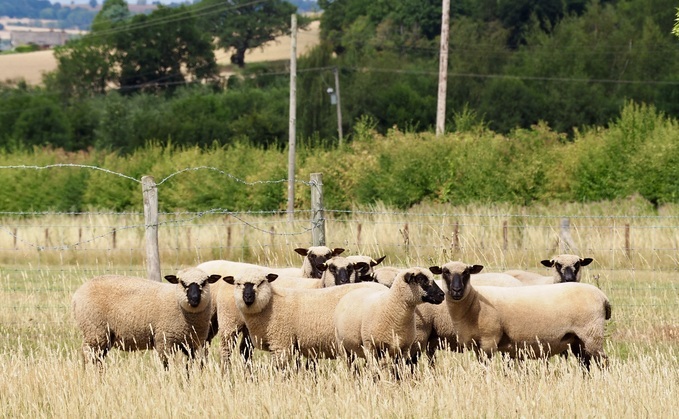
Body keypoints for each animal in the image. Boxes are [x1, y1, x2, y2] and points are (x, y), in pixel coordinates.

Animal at [71, 268, 222, 369]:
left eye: (204, 282)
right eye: (182, 283)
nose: (194, 299)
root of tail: (77, 295)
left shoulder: (192, 344)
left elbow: (189, 367)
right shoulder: (164, 341)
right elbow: (167, 365)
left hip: (103, 336)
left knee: (97, 359)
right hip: (95, 331)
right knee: (87, 356)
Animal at [212, 255, 372, 369]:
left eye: (350, 268)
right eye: (331, 268)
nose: (344, 281)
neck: (317, 285)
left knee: (245, 350)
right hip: (229, 322)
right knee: (226, 350)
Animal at [428, 261, 611, 369]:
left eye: (466, 272)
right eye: (445, 272)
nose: (456, 290)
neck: (474, 301)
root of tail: (603, 297)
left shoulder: (489, 340)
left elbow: (485, 368)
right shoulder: (478, 345)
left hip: (591, 334)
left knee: (603, 362)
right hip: (576, 339)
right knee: (585, 363)